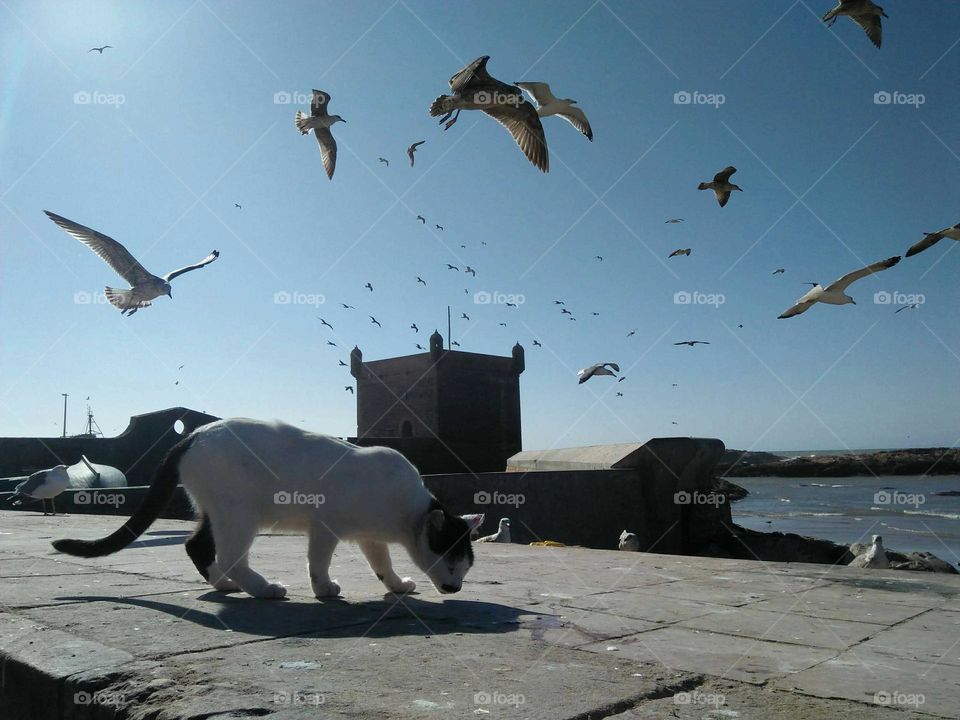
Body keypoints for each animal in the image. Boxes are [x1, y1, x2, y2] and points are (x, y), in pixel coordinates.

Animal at [54, 420, 488, 600]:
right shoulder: (326, 525)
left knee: (197, 546)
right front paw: (324, 589)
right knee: (229, 555)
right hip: (241, 512)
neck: (405, 511)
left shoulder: (369, 537)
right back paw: (263, 589)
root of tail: (193, 434)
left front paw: (396, 586)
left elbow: (382, 565)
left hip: (220, 511)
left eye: (465, 567)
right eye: (452, 562)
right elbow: (318, 562)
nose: (456, 588)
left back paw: (226, 585)